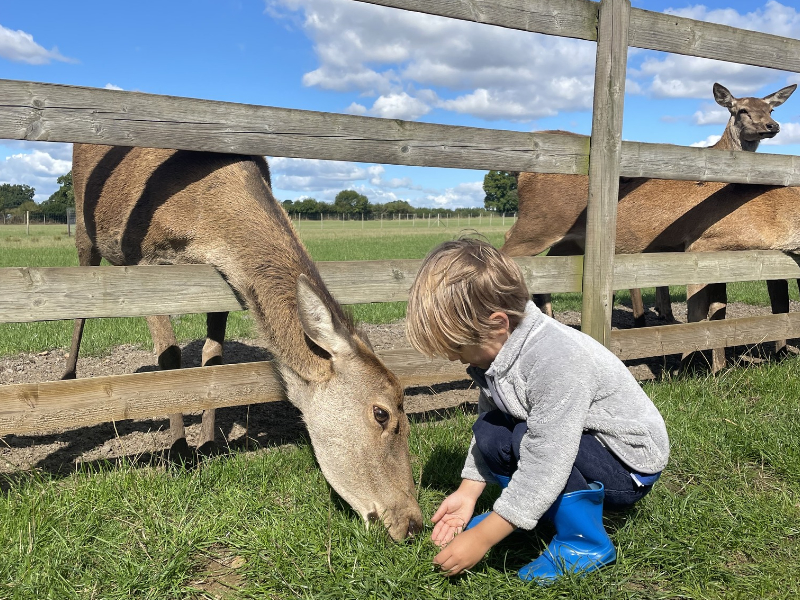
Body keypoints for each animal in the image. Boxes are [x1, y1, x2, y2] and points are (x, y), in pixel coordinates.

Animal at [63, 143, 424, 540]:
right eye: (381, 413)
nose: (412, 522)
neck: (200, 216)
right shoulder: (142, 260)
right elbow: (169, 359)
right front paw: (178, 455)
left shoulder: (220, 279)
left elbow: (213, 357)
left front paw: (208, 445)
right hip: (84, 229)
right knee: (79, 298)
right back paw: (68, 374)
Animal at [504, 79, 796, 370]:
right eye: (741, 110)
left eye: (771, 109)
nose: (772, 126)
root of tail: (520, 173)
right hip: (537, 224)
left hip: (569, 240)